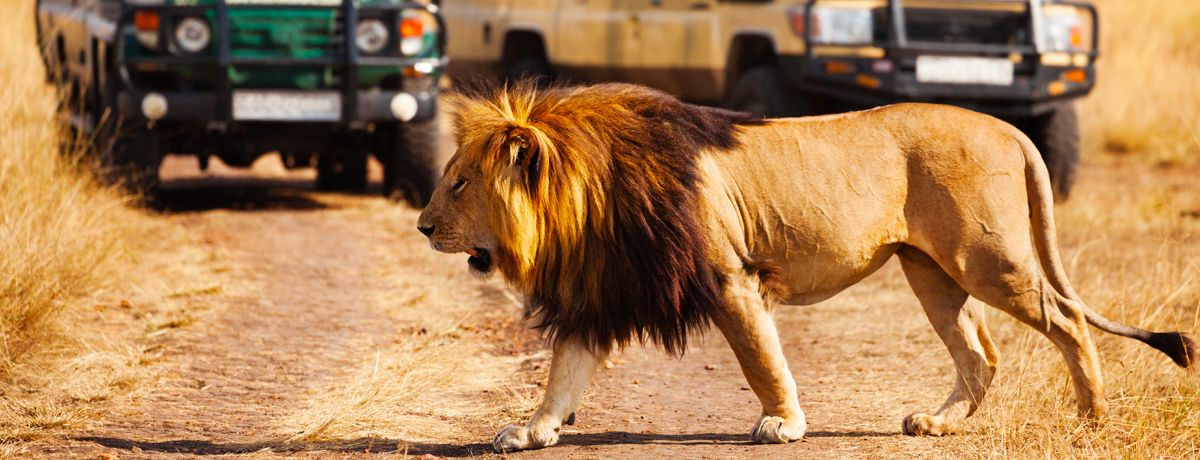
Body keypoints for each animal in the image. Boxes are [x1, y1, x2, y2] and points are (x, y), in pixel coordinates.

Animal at [417, 81, 1195, 451]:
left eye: (458, 183)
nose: (422, 227)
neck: (586, 201)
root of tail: (1007, 126)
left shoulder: (730, 277)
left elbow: (762, 359)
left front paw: (783, 424)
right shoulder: (600, 293)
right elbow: (563, 373)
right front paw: (532, 431)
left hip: (987, 258)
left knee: (1067, 319)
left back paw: (1091, 419)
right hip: (930, 271)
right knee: (981, 354)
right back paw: (937, 424)